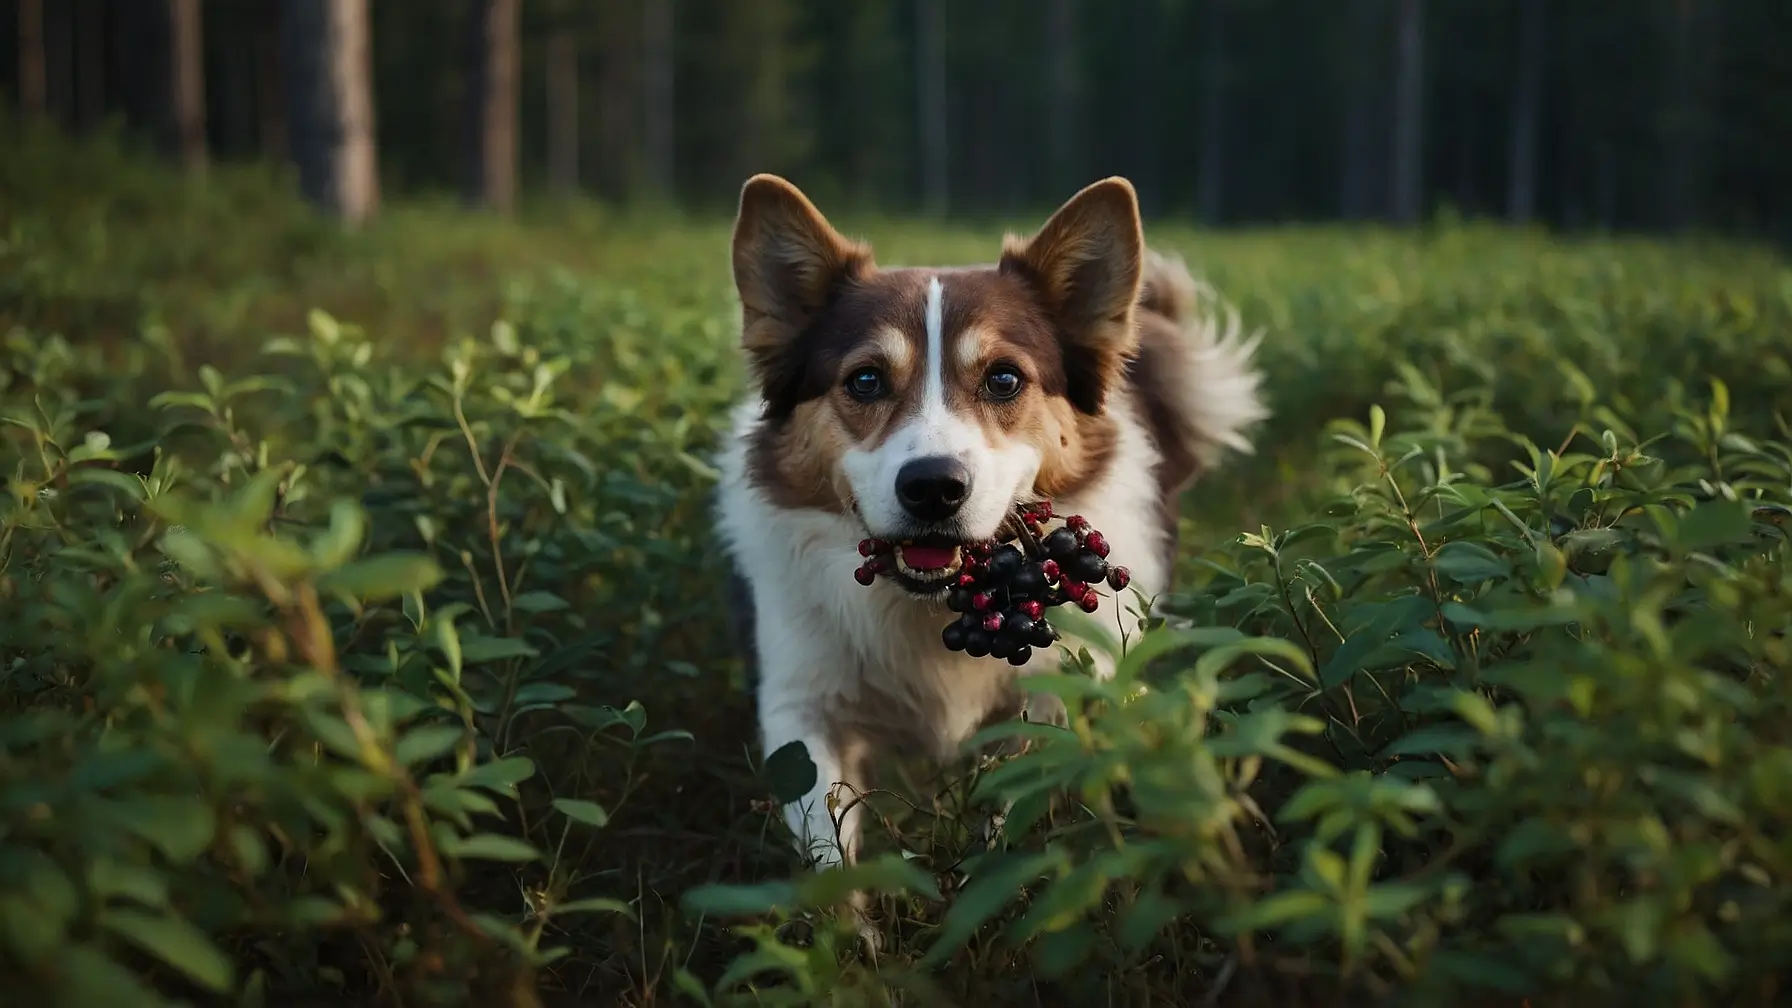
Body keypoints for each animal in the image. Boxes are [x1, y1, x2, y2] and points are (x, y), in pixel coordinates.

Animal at [706, 174, 1268, 878]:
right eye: (864, 380)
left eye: (1004, 379)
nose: (933, 487)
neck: (930, 603)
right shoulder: (801, 701)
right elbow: (827, 848)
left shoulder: (1059, 690)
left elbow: (1018, 801)